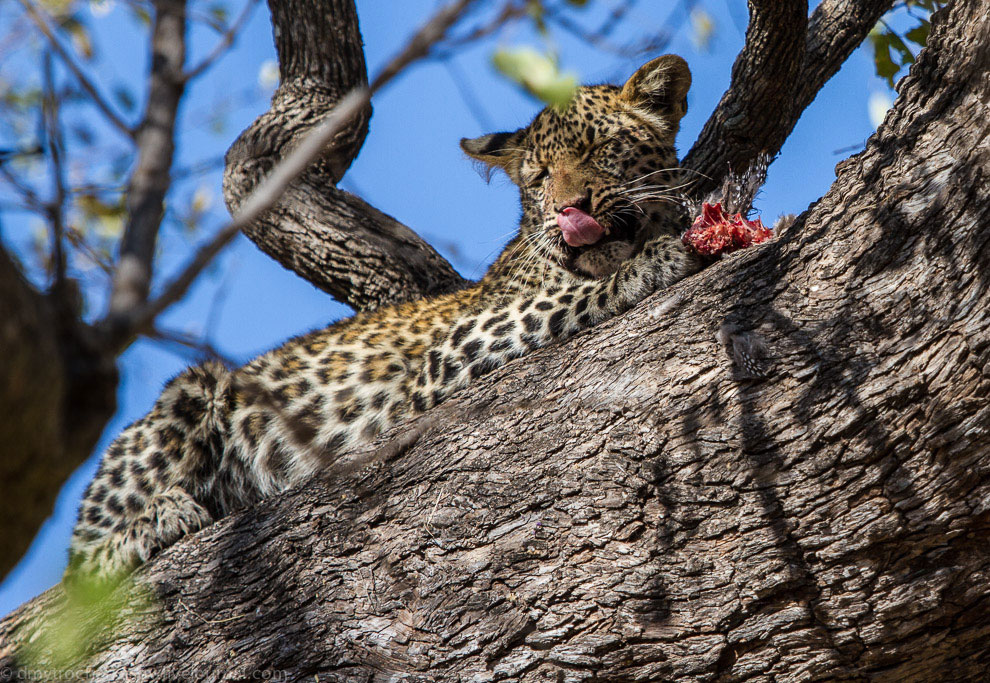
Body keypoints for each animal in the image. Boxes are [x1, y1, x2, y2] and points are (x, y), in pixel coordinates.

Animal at [68, 56, 696, 584]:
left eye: (601, 149)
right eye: (539, 177)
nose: (570, 209)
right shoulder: (457, 346)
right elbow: (564, 301)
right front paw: (654, 263)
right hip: (191, 392)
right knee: (79, 578)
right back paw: (163, 517)